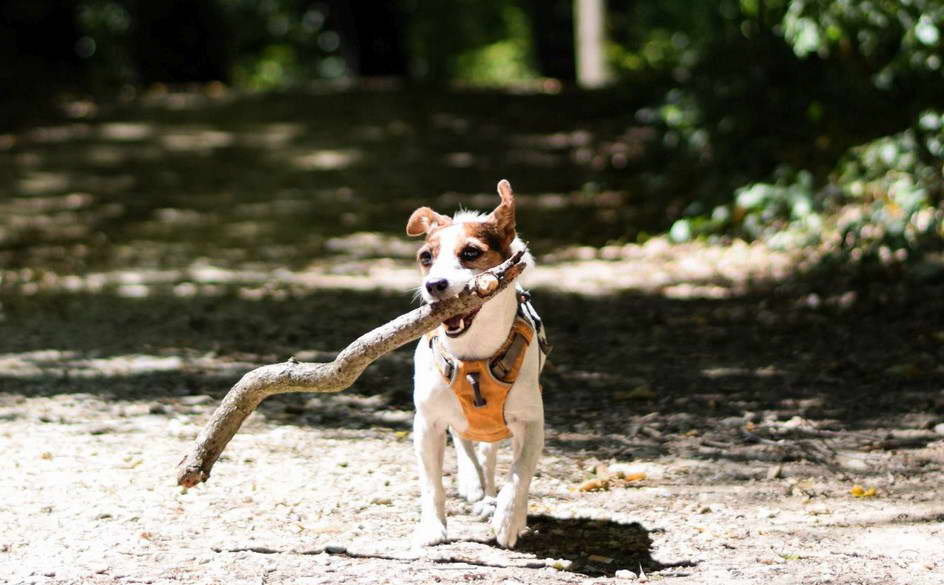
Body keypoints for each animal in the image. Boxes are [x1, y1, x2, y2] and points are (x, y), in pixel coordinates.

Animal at [404, 178, 544, 548]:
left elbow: (520, 474)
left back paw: (494, 501)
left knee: (490, 455)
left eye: (470, 253)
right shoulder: (426, 425)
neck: (472, 353)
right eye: (426, 258)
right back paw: (473, 483)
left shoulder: (531, 424)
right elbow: (432, 484)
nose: (434, 285)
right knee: (465, 439)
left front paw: (508, 520)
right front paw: (433, 527)